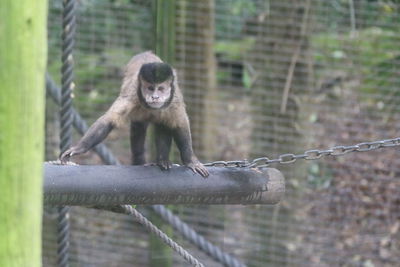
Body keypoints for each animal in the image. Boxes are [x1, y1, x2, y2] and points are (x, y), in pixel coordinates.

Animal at [60, 51, 209, 179]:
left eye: (160, 89)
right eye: (150, 88)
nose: (155, 97)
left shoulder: (174, 101)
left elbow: (180, 125)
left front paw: (190, 161)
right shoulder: (131, 96)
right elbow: (110, 119)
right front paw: (79, 148)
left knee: (163, 124)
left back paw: (162, 160)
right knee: (139, 130)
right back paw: (142, 161)